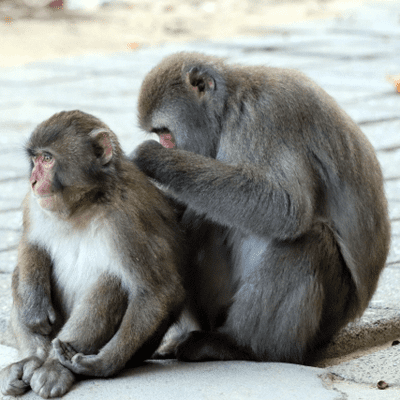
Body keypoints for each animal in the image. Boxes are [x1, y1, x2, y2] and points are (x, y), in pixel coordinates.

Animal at [0, 108, 184, 396]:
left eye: (48, 158)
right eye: (35, 159)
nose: (33, 181)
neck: (84, 204)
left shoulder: (127, 220)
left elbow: (158, 291)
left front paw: (103, 364)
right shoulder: (34, 203)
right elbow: (31, 243)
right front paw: (33, 307)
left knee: (113, 281)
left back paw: (54, 367)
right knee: (20, 272)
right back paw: (31, 359)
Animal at [57, 51, 390, 370]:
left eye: (163, 131)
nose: (165, 145)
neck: (230, 107)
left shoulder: (264, 117)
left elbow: (286, 207)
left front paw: (152, 158)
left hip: (328, 317)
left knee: (307, 241)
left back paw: (243, 347)